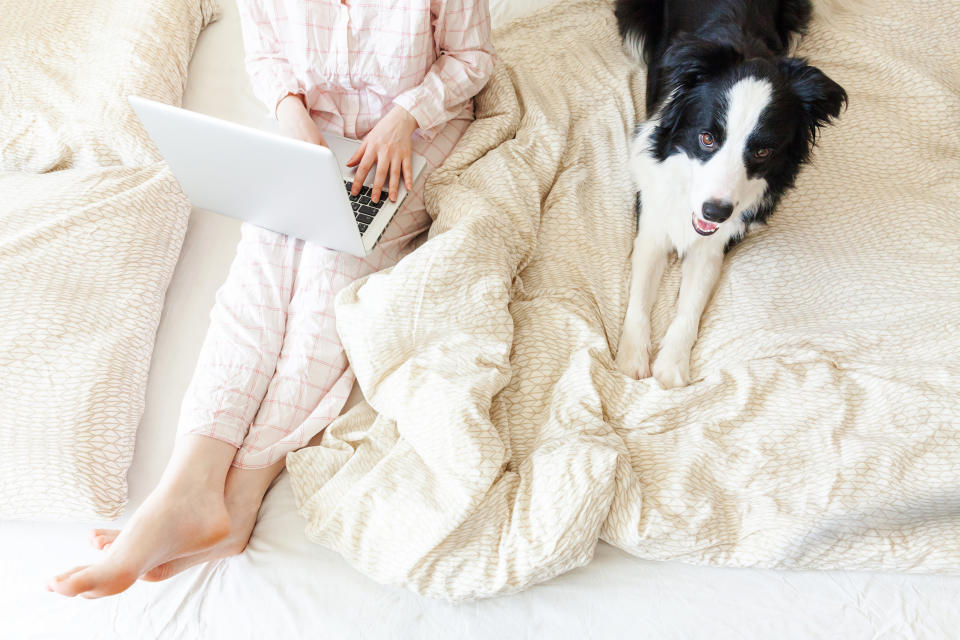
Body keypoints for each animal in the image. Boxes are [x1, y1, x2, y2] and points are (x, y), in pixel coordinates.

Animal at [612, 0, 844, 388]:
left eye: (763, 151)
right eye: (707, 138)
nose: (715, 212)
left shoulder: (713, 245)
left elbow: (690, 305)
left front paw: (672, 366)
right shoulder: (653, 220)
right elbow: (640, 296)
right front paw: (631, 359)